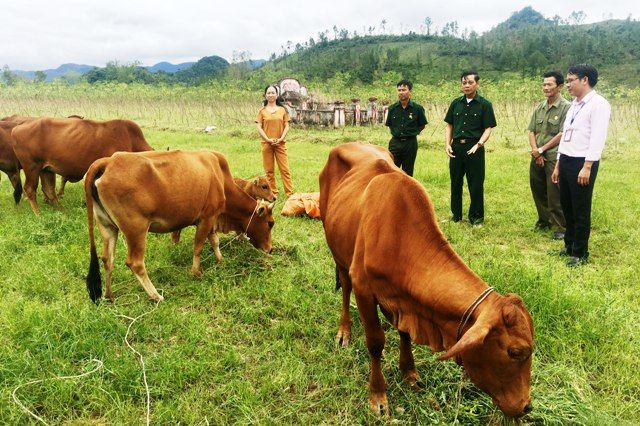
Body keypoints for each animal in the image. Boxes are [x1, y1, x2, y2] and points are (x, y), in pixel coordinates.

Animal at [12, 116, 154, 213]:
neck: (132, 141)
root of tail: (17, 128)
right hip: (32, 167)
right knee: (30, 189)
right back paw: (38, 214)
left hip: (46, 169)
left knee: (49, 189)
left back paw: (61, 210)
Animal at [84, 150, 272, 302]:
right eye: (270, 223)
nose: (270, 249)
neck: (221, 178)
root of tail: (109, 161)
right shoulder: (206, 218)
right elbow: (199, 247)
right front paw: (196, 272)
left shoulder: (212, 219)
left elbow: (215, 241)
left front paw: (220, 260)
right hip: (136, 230)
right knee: (135, 263)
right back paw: (155, 295)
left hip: (107, 226)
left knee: (107, 259)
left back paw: (109, 295)